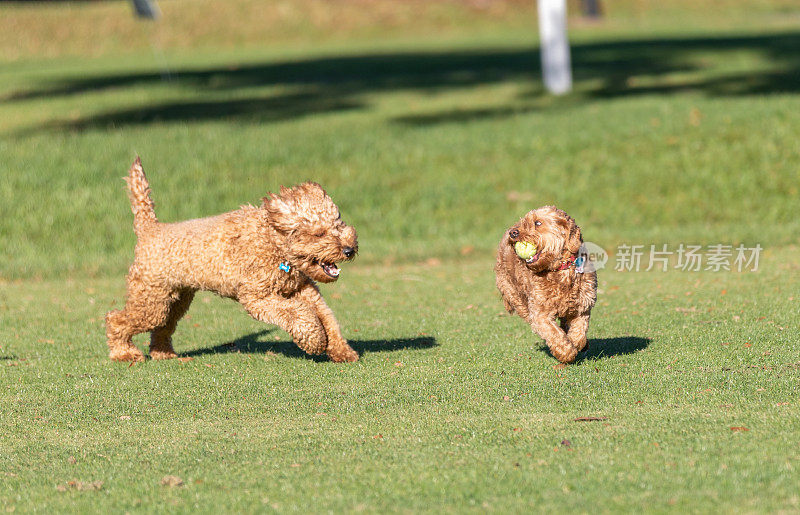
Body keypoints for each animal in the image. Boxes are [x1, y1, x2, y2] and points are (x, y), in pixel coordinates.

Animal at [105, 157, 360, 362]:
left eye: (339, 224)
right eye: (319, 234)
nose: (349, 250)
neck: (272, 242)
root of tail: (150, 229)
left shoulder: (304, 288)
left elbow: (327, 317)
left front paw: (342, 351)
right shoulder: (257, 297)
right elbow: (296, 313)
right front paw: (315, 340)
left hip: (175, 299)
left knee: (162, 328)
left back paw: (163, 353)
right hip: (151, 299)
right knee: (116, 319)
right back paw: (124, 353)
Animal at [496, 205, 596, 362]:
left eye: (538, 223)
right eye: (524, 222)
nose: (513, 232)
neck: (560, 270)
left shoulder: (583, 305)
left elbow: (579, 329)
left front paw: (578, 343)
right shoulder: (540, 313)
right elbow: (553, 332)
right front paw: (566, 352)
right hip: (516, 297)